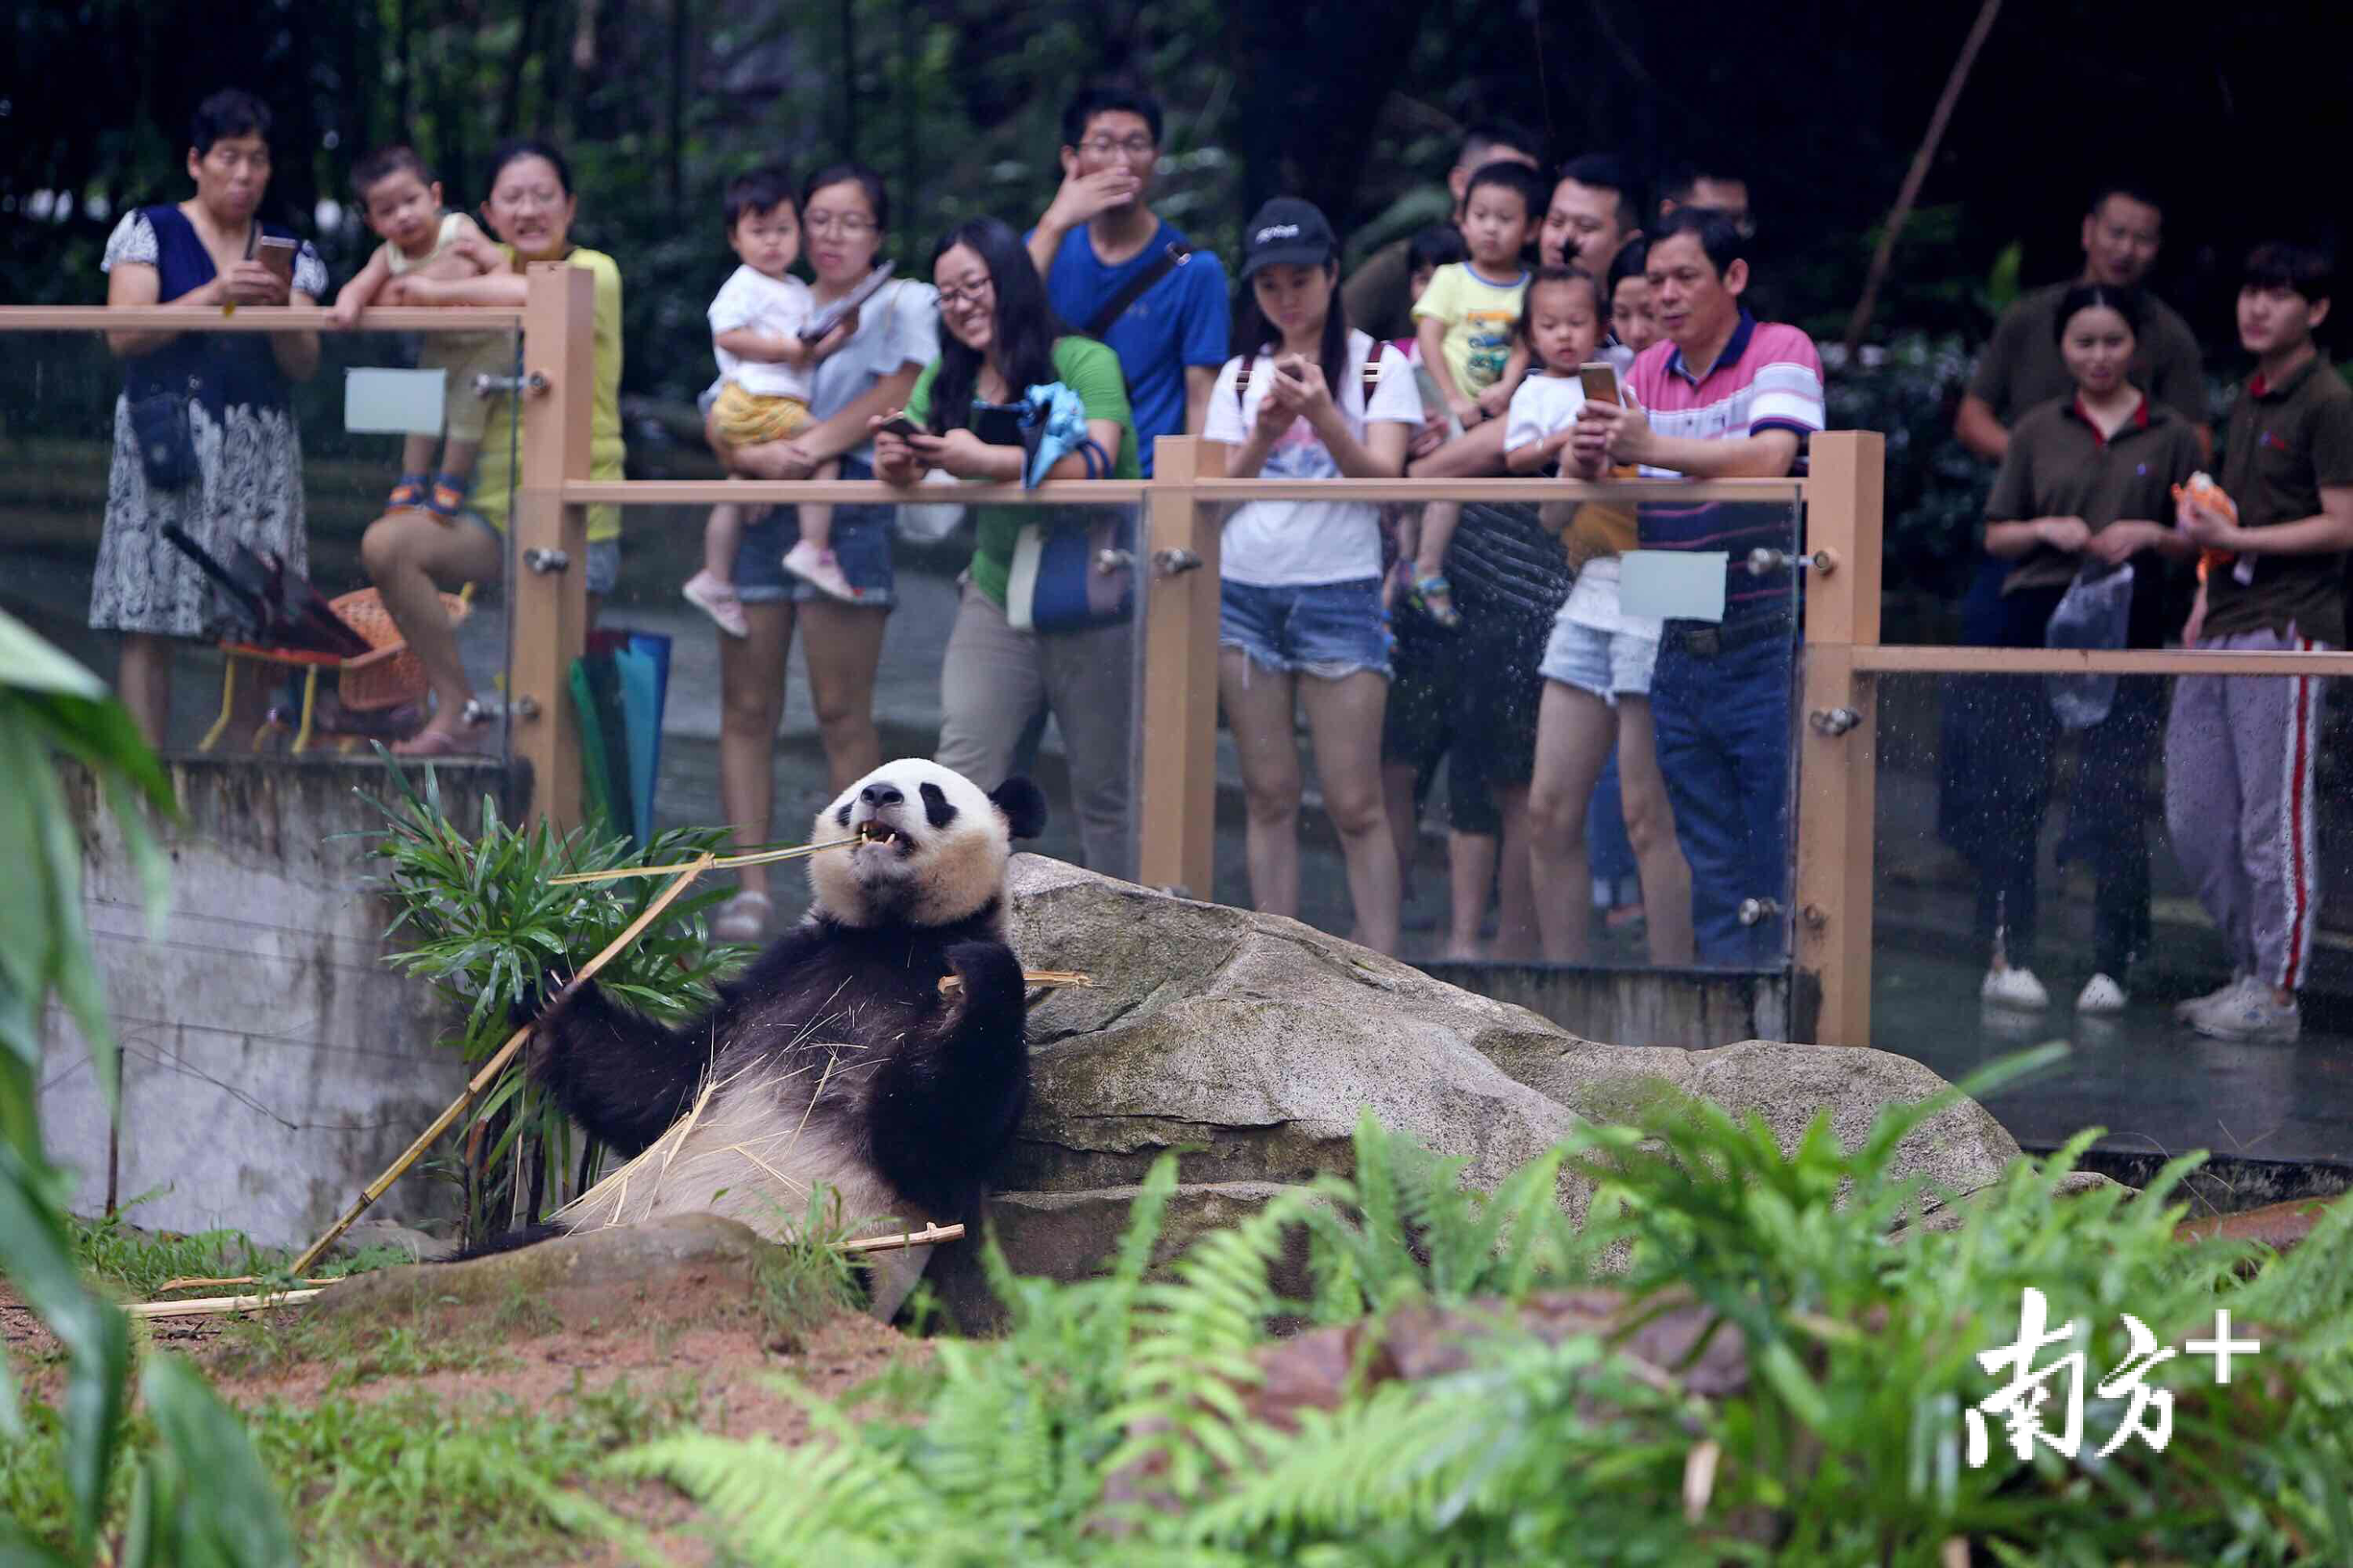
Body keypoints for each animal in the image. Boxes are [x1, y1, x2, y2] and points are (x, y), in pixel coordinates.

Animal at [515, 753, 1049, 1309]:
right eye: (856, 793)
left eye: (932, 794)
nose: (880, 795)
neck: (890, 934)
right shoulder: (777, 979)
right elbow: (663, 1087)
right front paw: (552, 991)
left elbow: (937, 1143)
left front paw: (977, 979)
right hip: (596, 1225)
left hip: (842, 1247)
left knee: (806, 1274)